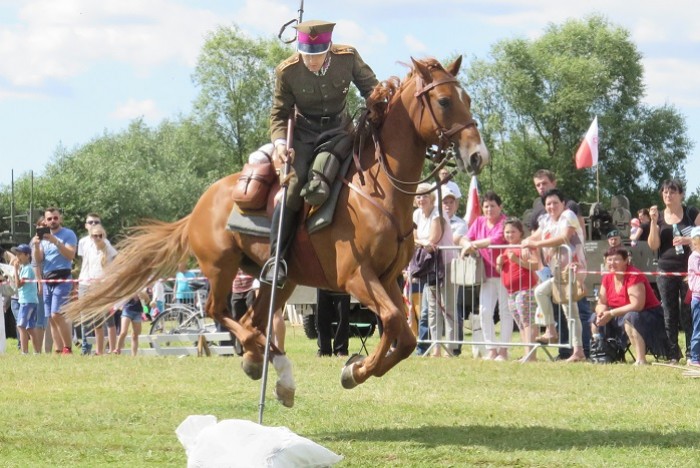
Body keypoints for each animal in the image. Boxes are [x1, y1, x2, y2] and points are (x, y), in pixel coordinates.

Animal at [64, 54, 486, 406]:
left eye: (466, 97)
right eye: (444, 101)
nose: (477, 155)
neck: (375, 190)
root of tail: (200, 206)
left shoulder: (389, 278)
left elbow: (408, 335)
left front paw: (354, 367)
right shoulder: (357, 277)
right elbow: (397, 322)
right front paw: (355, 370)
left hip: (278, 279)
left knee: (253, 319)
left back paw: (270, 371)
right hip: (222, 268)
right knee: (223, 314)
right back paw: (265, 363)